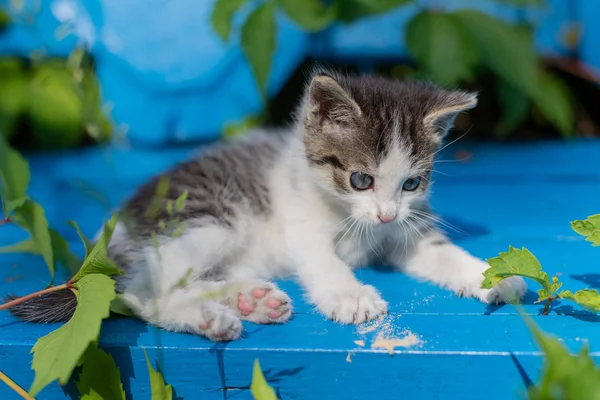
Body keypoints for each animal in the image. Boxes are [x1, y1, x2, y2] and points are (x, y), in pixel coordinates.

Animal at [8, 72, 524, 340]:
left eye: (412, 183)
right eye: (360, 180)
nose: (385, 214)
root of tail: (115, 228)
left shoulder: (407, 229)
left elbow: (441, 253)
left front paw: (492, 276)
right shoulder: (302, 224)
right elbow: (323, 259)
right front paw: (350, 295)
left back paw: (251, 299)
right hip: (209, 220)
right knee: (139, 290)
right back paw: (210, 318)